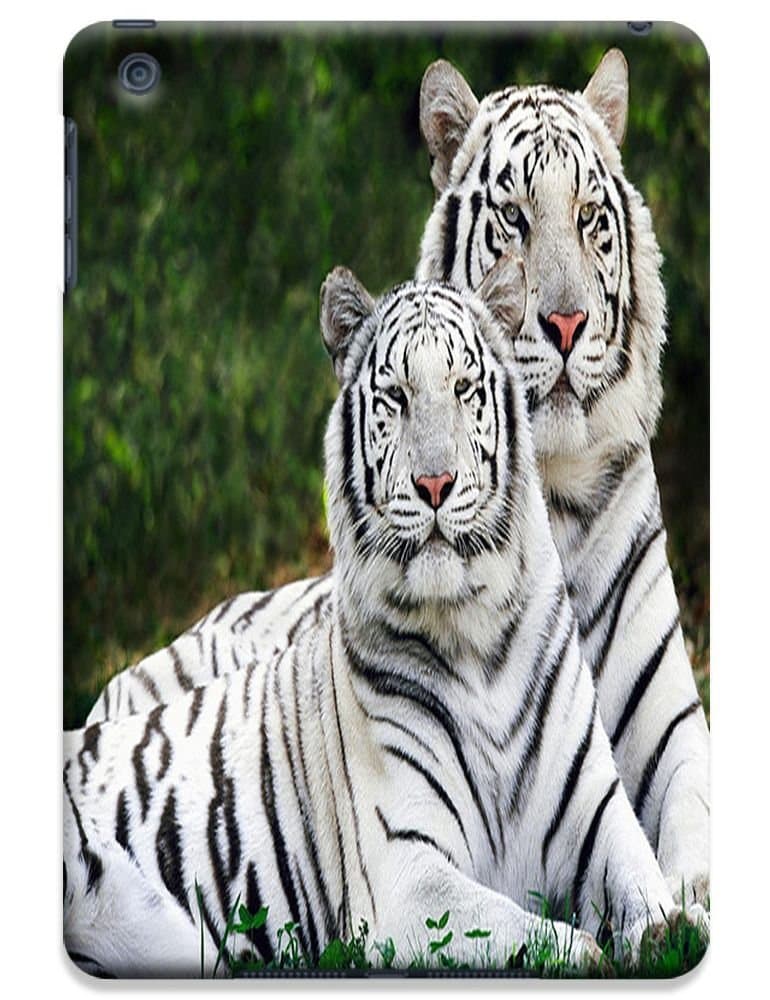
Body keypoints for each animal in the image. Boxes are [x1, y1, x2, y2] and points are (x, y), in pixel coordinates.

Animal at [65, 262, 705, 977]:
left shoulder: (597, 809)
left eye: (463, 389)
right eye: (395, 397)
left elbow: (642, 877)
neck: (476, 635)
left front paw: (671, 927)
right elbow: (520, 932)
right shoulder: (405, 874)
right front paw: (587, 951)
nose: (435, 484)